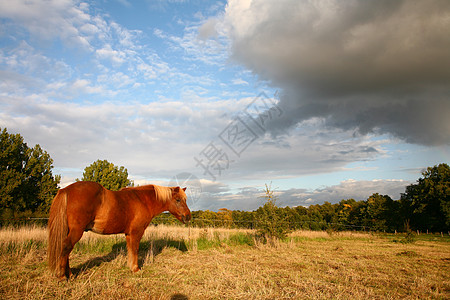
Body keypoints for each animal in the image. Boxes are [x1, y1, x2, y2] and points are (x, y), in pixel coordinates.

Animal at [47, 180, 190, 278]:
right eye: (178, 199)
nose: (188, 216)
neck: (142, 200)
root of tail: (66, 189)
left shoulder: (128, 234)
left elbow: (130, 250)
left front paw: (130, 267)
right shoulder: (136, 232)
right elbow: (135, 249)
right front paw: (136, 269)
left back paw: (69, 274)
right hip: (76, 231)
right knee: (66, 247)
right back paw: (63, 276)